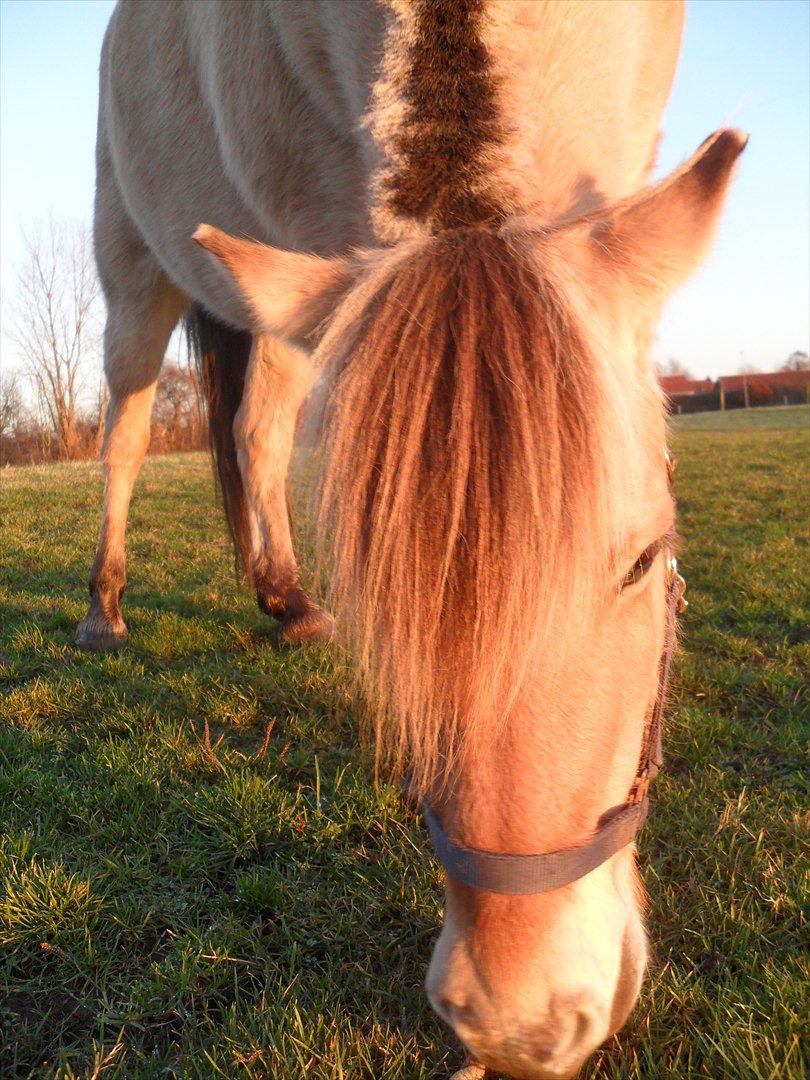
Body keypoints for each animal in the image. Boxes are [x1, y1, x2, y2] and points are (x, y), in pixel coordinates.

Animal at [79, 4, 747, 1075]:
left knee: (258, 431)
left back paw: (285, 598)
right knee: (128, 430)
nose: (522, 1025)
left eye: (644, 563)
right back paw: (104, 607)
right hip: (134, 266)